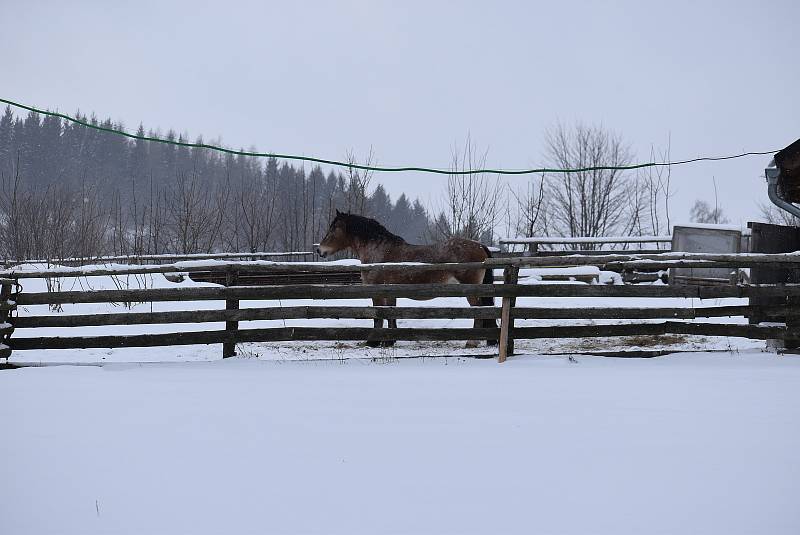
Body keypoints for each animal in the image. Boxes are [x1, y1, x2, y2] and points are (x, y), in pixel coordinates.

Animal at [318, 209, 494, 348]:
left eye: (334, 228)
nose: (320, 250)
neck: (379, 252)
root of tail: (480, 246)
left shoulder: (377, 292)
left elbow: (379, 316)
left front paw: (374, 342)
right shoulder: (390, 292)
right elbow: (391, 315)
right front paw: (390, 341)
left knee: (479, 311)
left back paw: (472, 342)